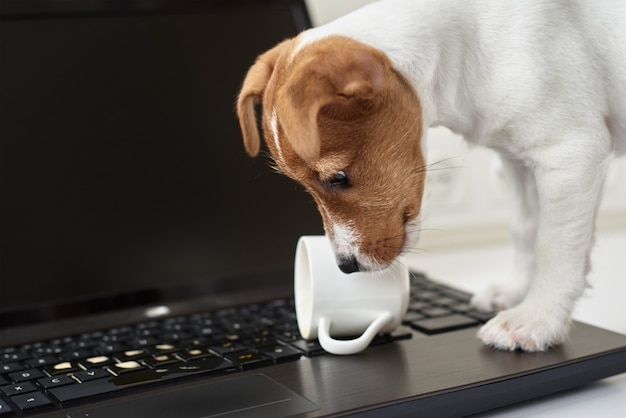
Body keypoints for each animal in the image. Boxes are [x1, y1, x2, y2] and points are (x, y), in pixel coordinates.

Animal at [235, 0, 624, 352]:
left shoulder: (569, 152)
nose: (345, 267)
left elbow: (554, 244)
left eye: (337, 177)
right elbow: (526, 229)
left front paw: (537, 319)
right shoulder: (517, 161)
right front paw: (516, 293)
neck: (471, 47)